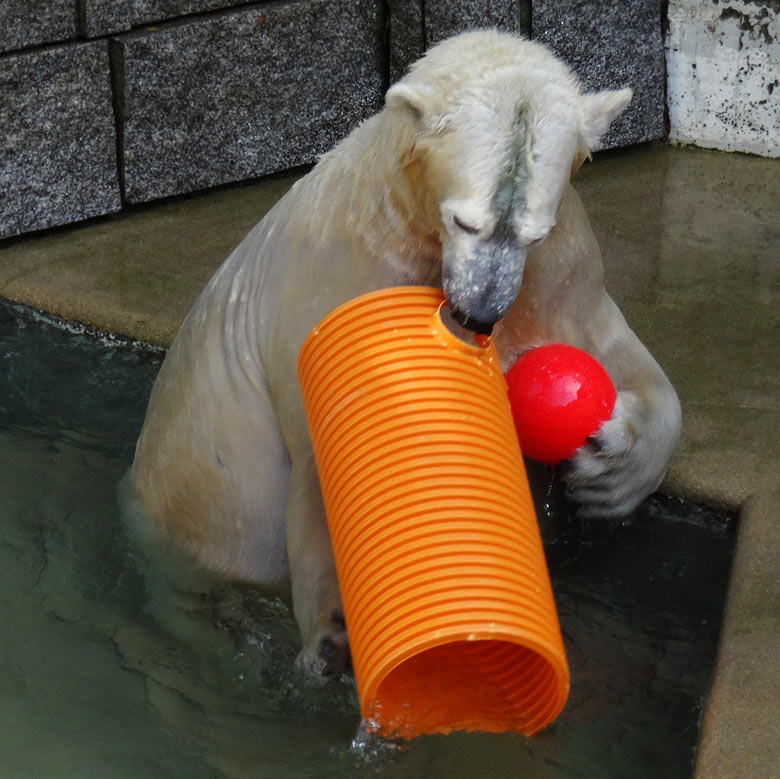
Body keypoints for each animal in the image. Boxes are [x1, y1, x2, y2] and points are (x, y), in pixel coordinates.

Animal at [129, 30, 684, 676]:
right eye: (464, 222)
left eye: (533, 232)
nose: (480, 312)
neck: (409, 215)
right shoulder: (345, 283)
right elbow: (334, 457)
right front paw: (337, 630)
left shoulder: (559, 269)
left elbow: (610, 346)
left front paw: (609, 471)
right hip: (198, 520)